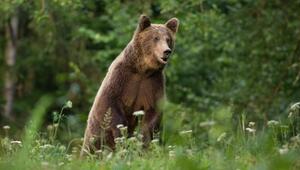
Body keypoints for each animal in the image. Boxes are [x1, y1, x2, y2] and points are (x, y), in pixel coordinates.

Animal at [80, 14, 178, 155]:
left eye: (168, 39)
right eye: (155, 38)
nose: (166, 51)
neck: (143, 70)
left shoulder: (153, 82)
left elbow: (153, 111)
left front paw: (144, 141)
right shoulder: (121, 77)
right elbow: (109, 104)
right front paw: (122, 134)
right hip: (96, 133)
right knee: (93, 146)